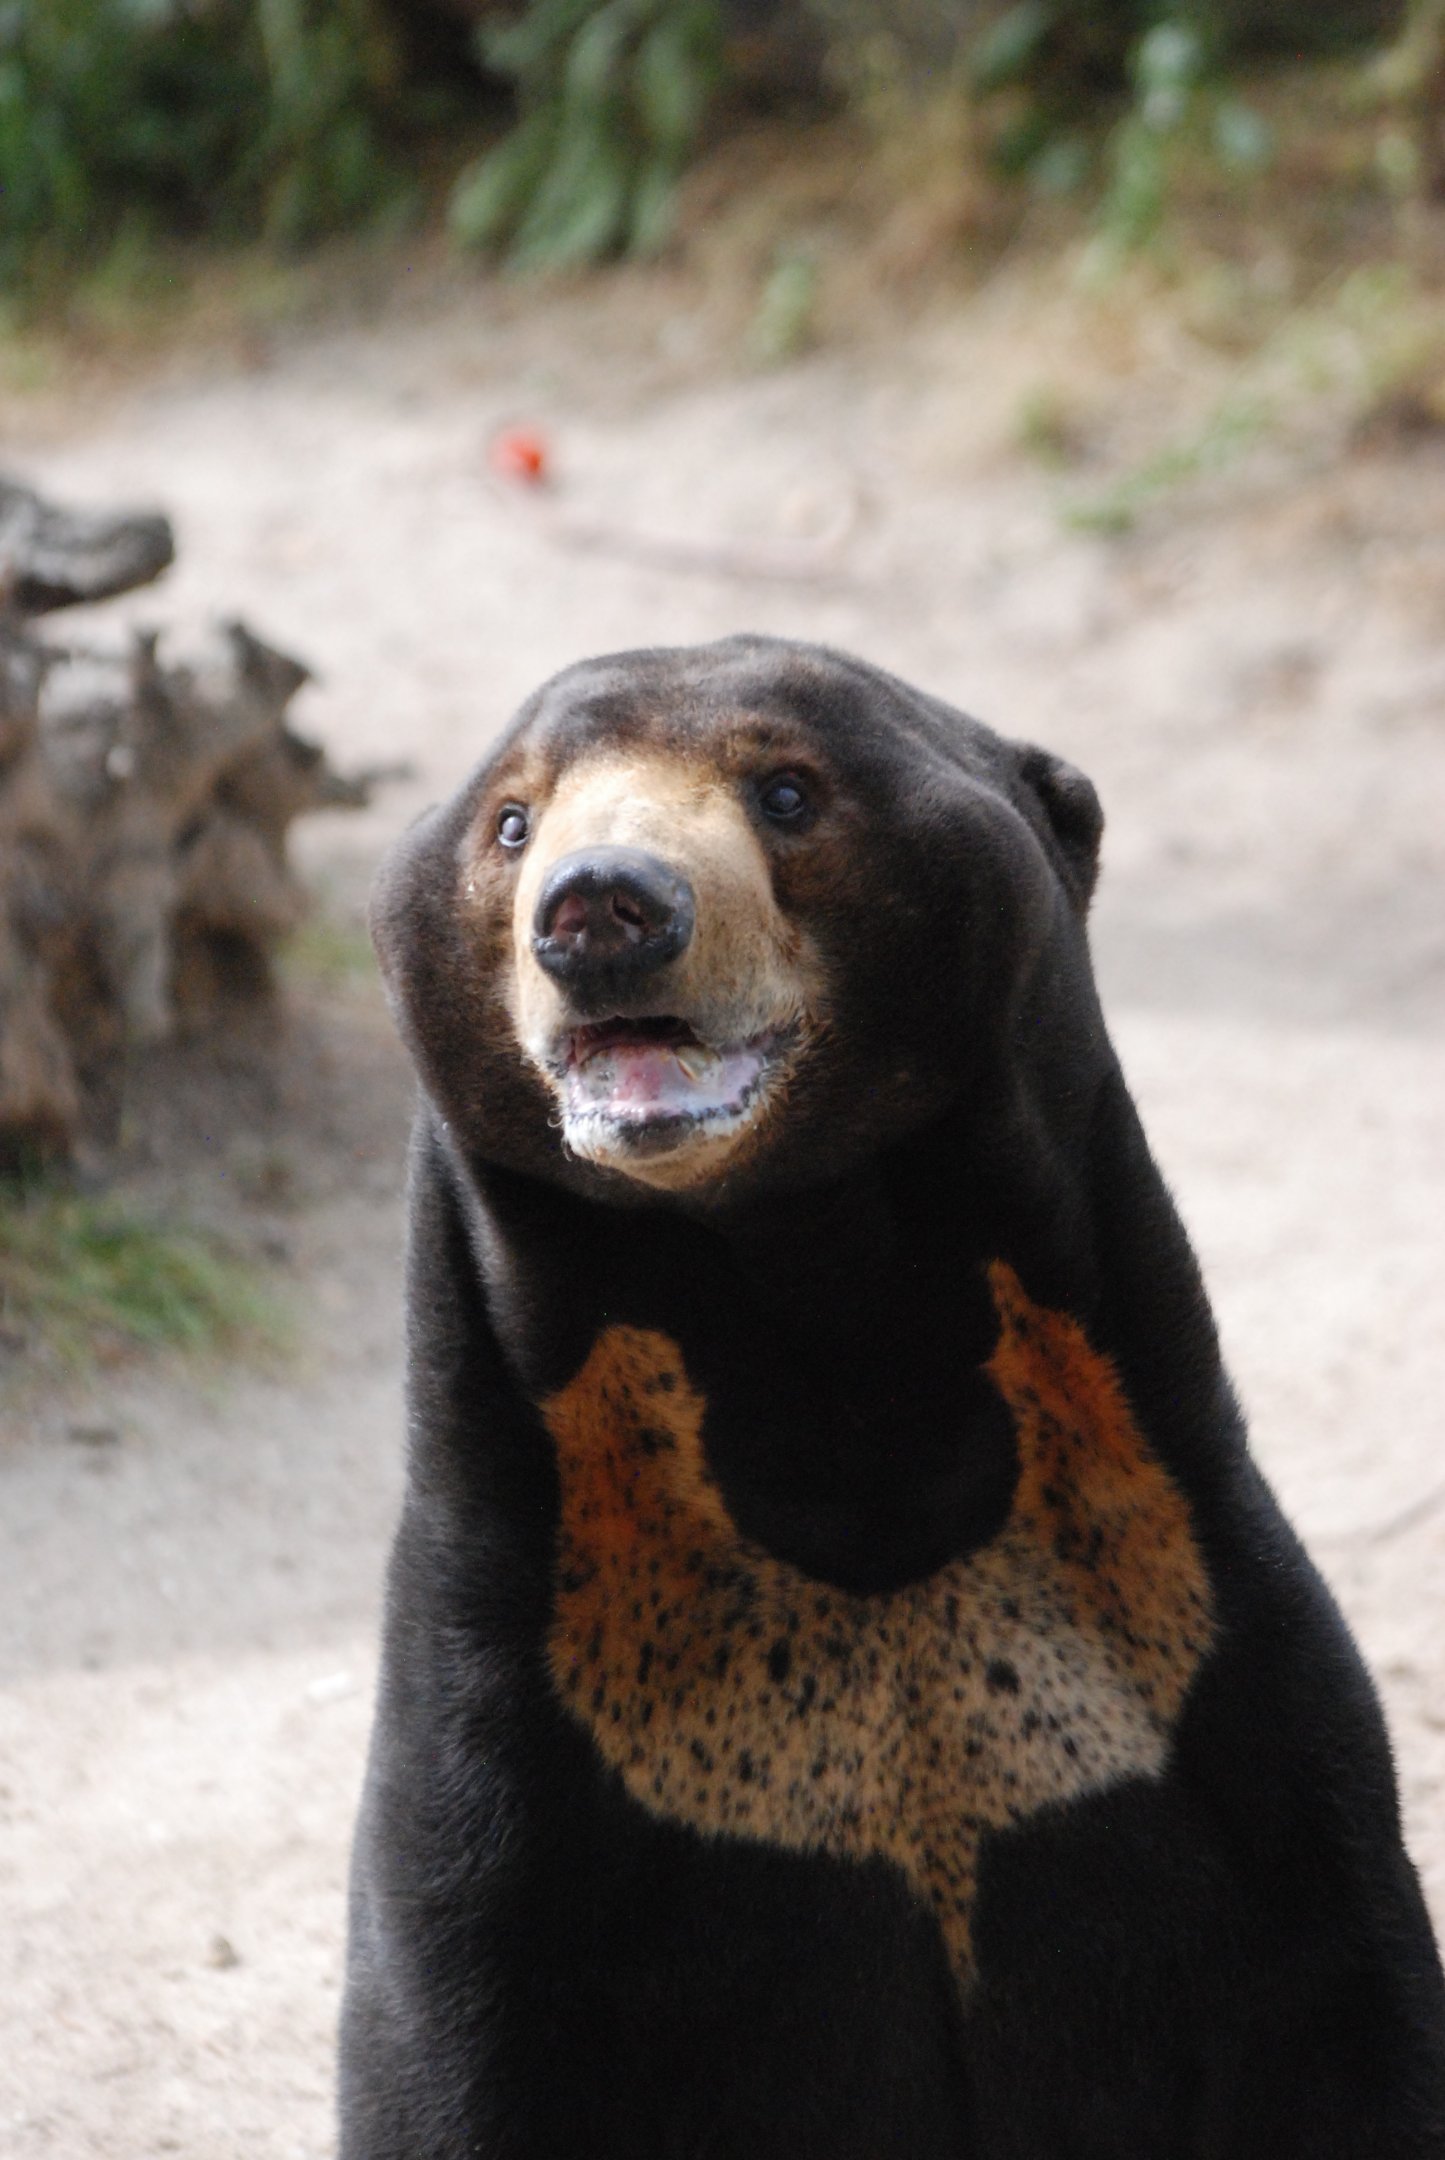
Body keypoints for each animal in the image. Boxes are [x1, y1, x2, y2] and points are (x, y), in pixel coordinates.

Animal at [341, 634, 1445, 2158]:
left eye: (786, 790)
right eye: (511, 822)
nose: (602, 909)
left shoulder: (1199, 1644)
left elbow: (1346, 2006)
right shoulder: (515, 1702)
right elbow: (446, 2047)